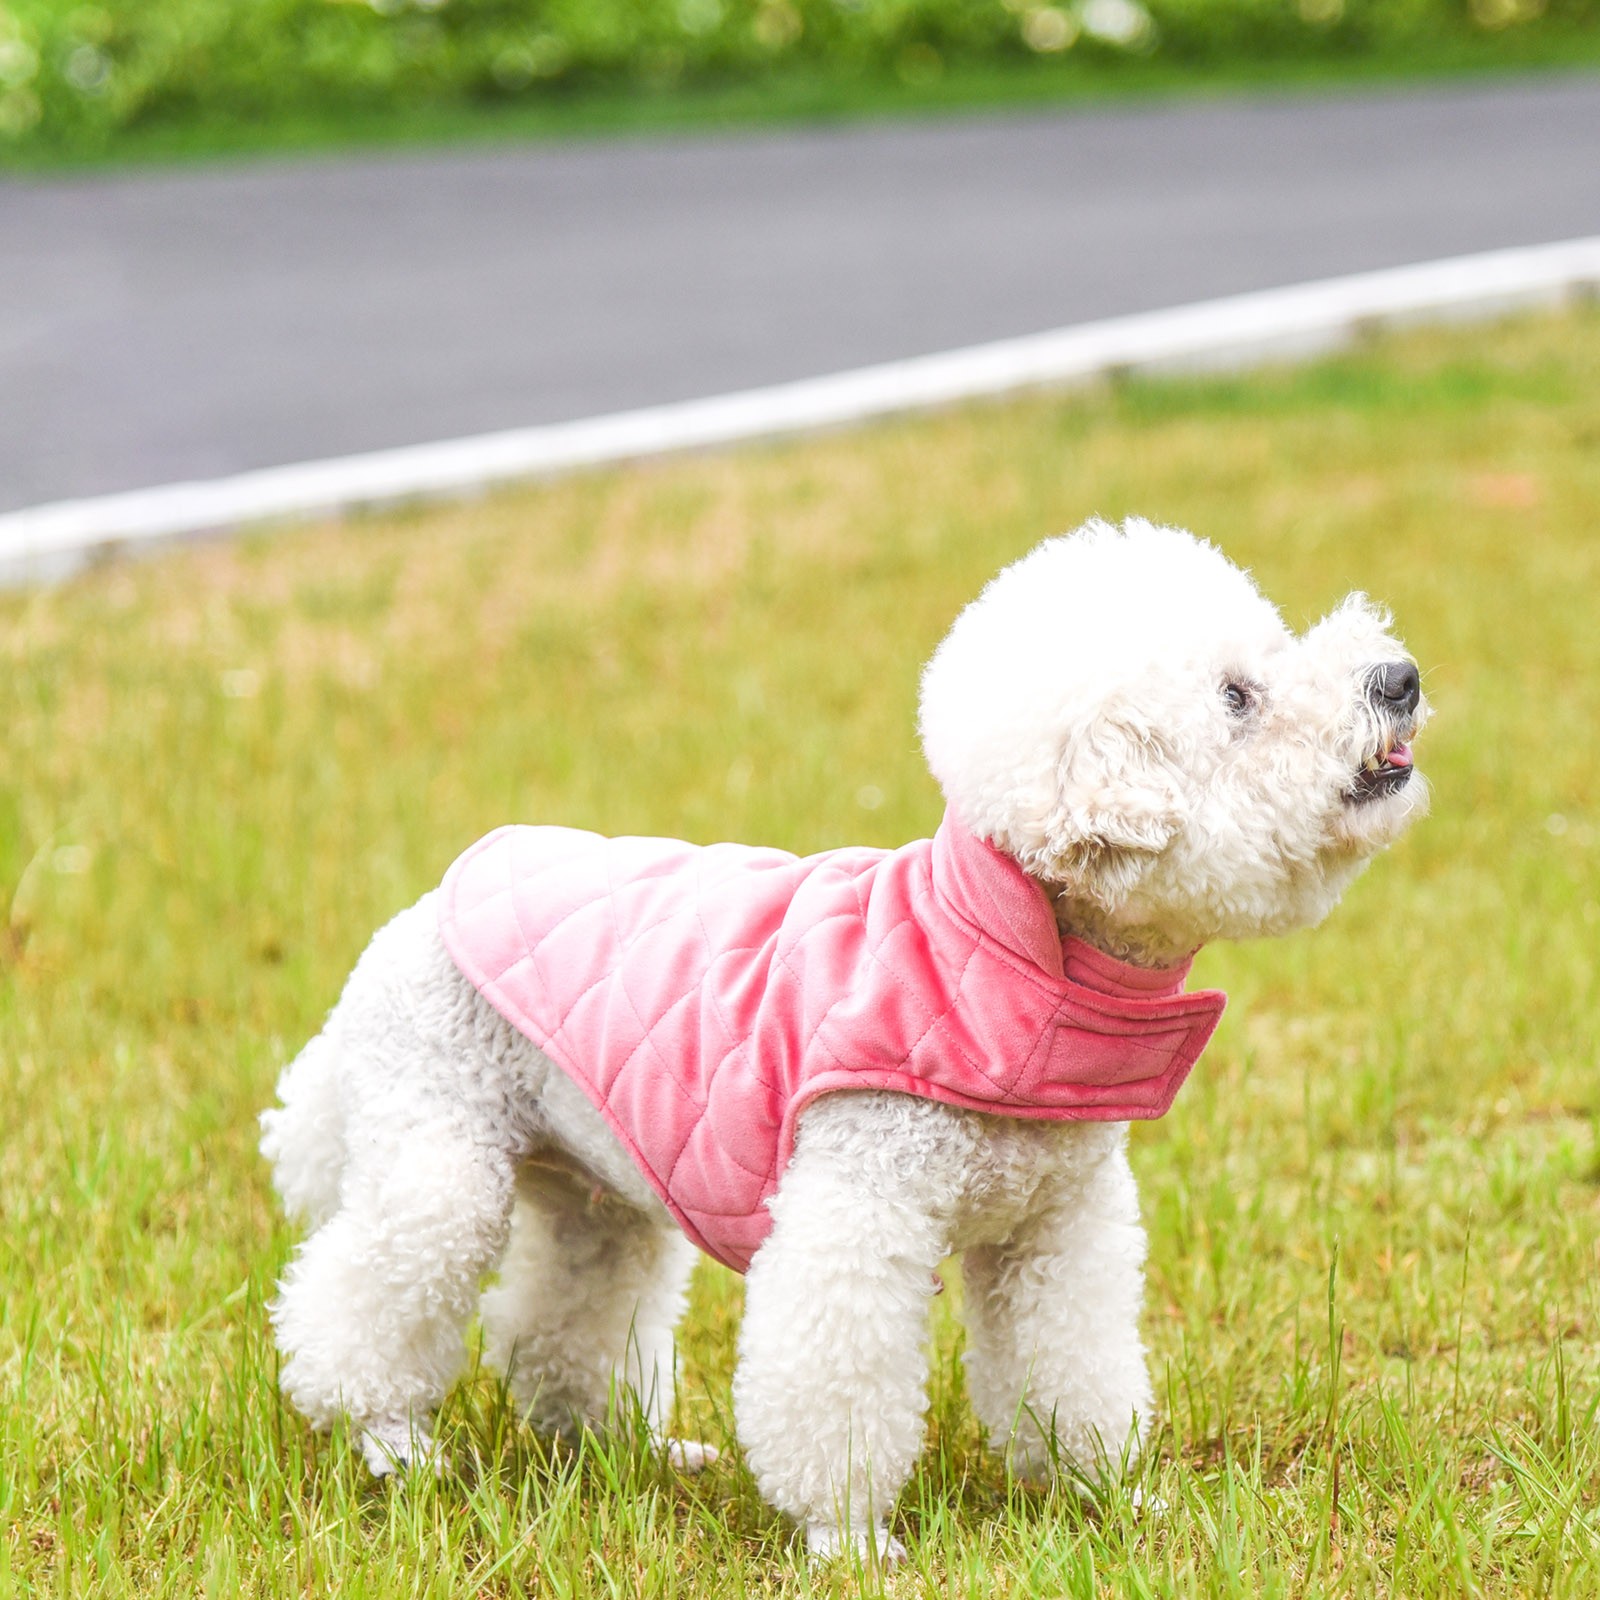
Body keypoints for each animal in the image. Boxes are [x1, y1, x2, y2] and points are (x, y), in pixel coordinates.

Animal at [259, 521, 1427, 1561]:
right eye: (1237, 697)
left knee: (563, 1326)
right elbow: (839, 1386)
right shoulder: (858, 1208)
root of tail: (411, 919)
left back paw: (631, 1451)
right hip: (438, 1152)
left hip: (596, 1188)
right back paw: (391, 1443)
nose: (1401, 676)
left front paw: (1103, 1496)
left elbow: (1071, 1364)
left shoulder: (1055, 1227)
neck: (1004, 954)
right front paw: (849, 1537)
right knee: (357, 1305)